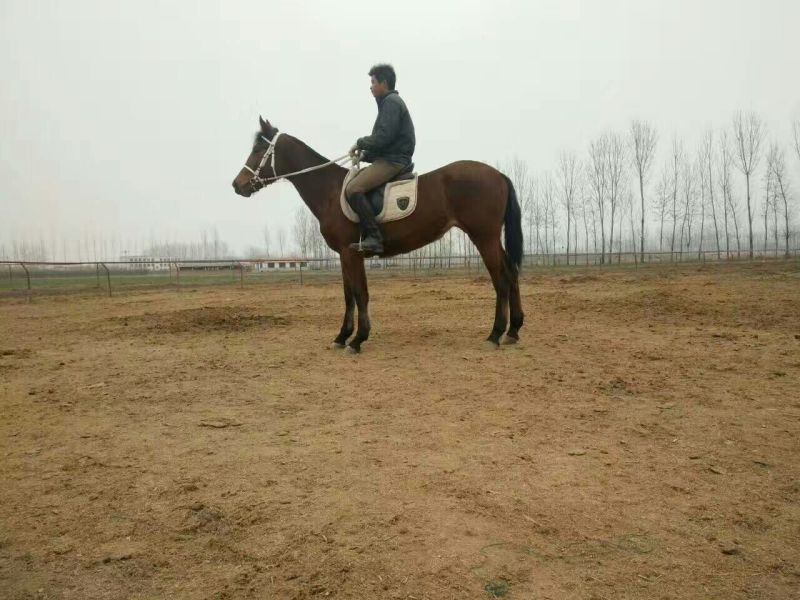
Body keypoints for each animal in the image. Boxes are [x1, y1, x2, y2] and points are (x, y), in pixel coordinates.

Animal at [232, 117, 524, 353]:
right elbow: (349, 295)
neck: (330, 191)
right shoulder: (344, 255)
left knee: (501, 280)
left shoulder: (351, 253)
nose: (237, 185)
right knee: (511, 273)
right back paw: (513, 331)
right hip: (490, 238)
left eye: (258, 149)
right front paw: (341, 337)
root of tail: (498, 175)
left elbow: (360, 293)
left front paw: (358, 339)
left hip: (483, 237)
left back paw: (495, 334)